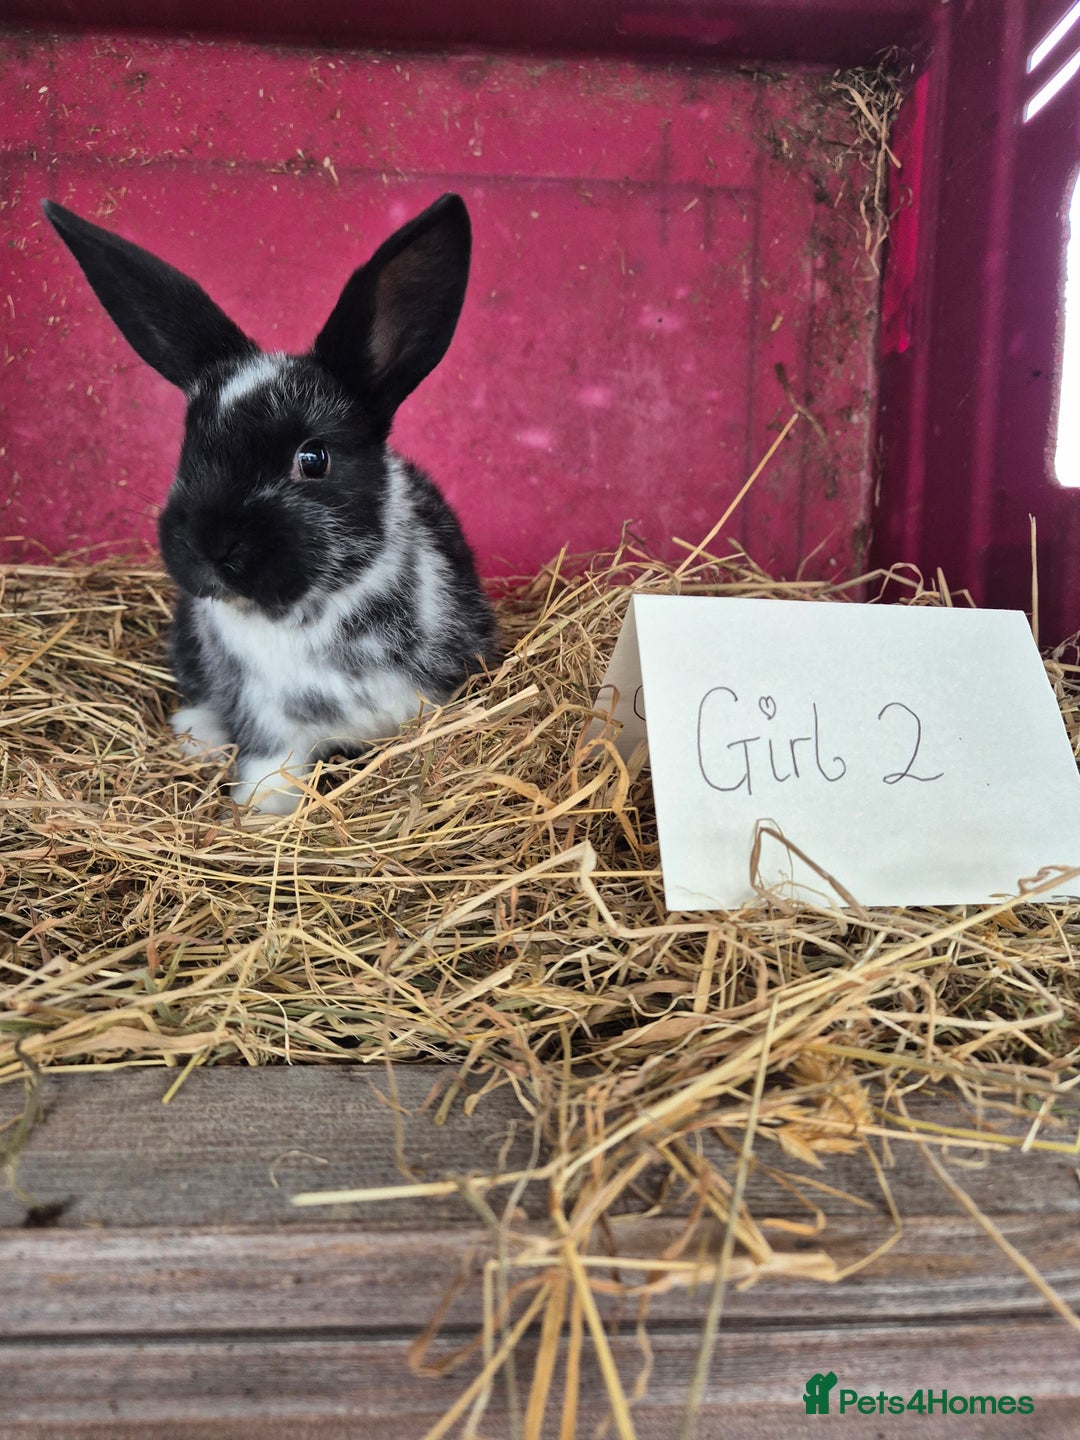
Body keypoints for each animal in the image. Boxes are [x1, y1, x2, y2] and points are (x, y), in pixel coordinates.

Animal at [43, 193, 497, 813]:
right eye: (189, 445)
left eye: (314, 458)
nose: (207, 545)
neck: (310, 610)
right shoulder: (269, 725)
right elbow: (268, 776)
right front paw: (257, 820)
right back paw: (197, 734)